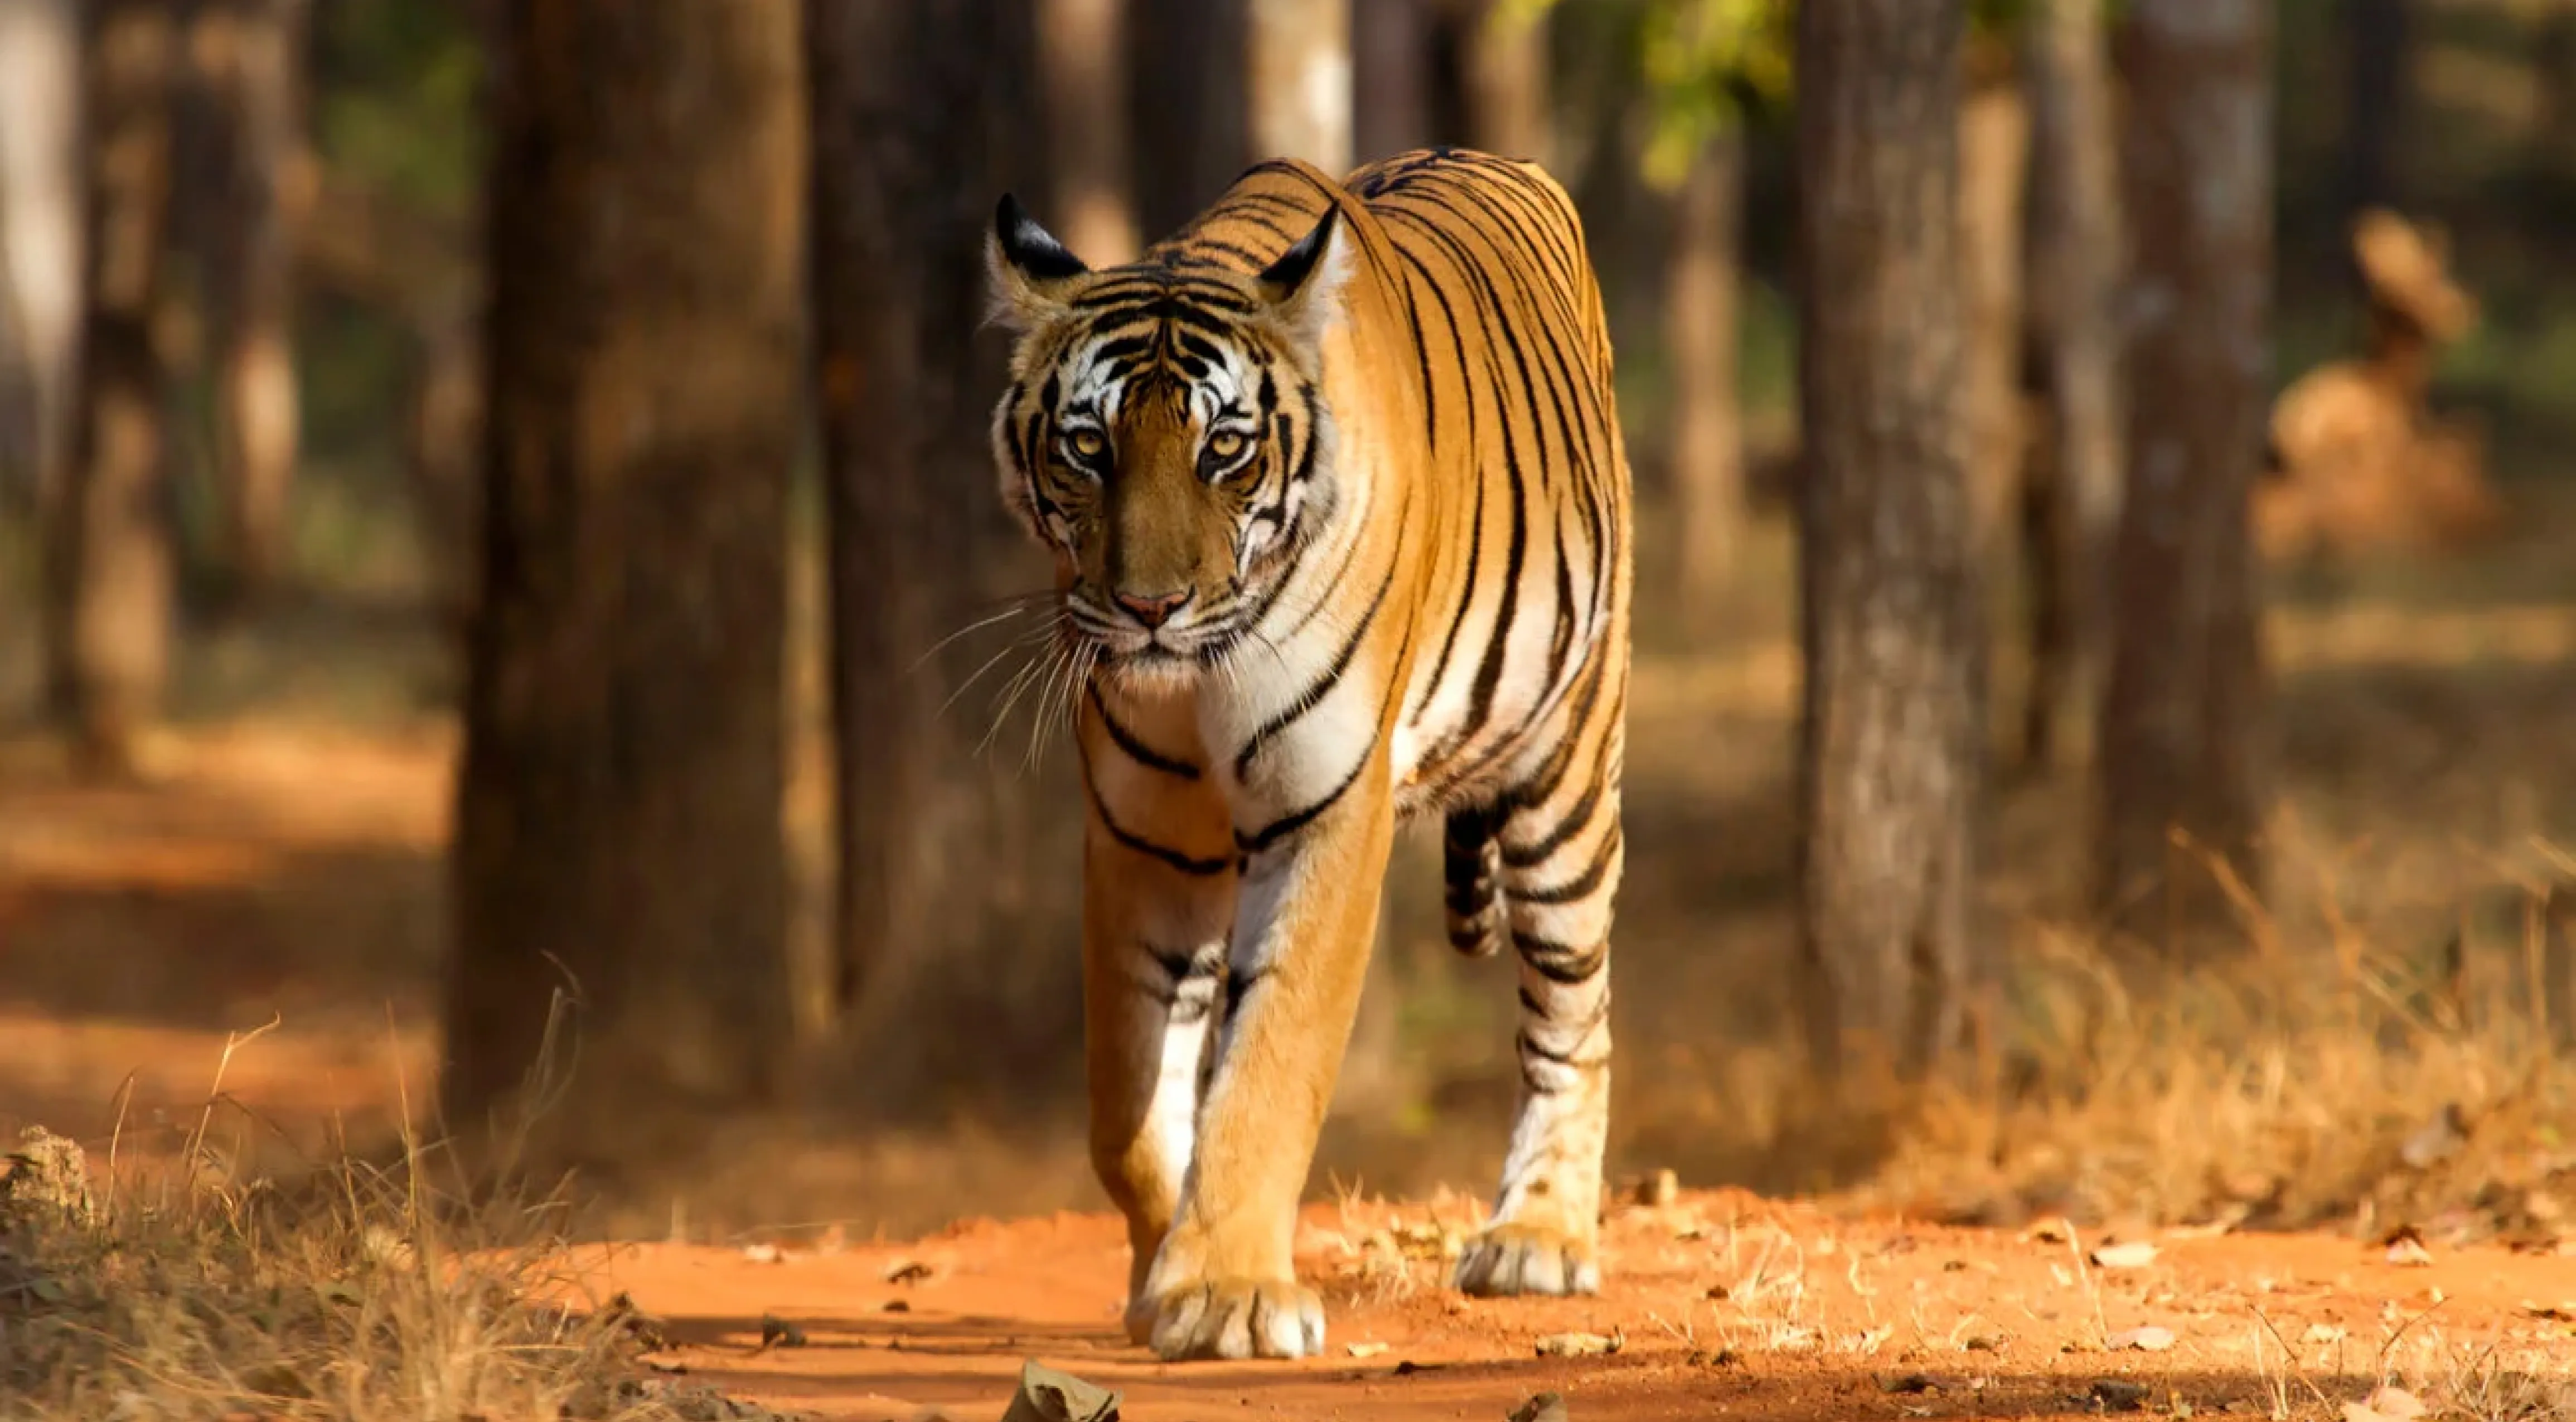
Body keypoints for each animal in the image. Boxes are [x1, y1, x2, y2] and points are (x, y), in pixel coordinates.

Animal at [984, 146, 1633, 1362]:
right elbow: (1127, 1103)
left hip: (1568, 773)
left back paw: (1540, 1238)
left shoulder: (1329, 811)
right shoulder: (1142, 837)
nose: (1148, 609)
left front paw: (1228, 1294)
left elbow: (1271, 1060)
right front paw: (1162, 1274)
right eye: (1088, 447)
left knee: (1575, 1014)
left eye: (1224, 450)